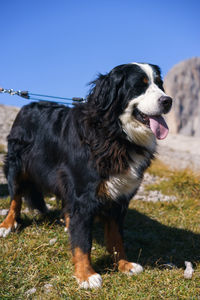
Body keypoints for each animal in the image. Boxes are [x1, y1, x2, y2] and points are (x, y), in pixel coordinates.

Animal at [0, 62, 172, 288]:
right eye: (139, 86)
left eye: (160, 84)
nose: (168, 100)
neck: (116, 134)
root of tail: (28, 105)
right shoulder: (84, 195)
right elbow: (83, 242)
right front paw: (86, 275)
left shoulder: (119, 197)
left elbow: (117, 238)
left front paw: (124, 265)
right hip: (17, 166)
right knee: (15, 199)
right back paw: (7, 225)